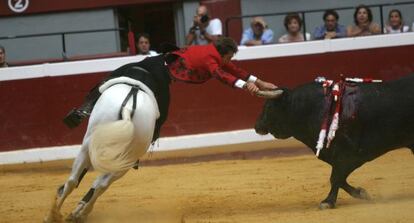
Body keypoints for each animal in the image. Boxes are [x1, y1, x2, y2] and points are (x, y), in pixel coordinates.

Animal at [44, 76, 159, 221]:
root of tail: (128, 108)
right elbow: (98, 183)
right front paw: (79, 211)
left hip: (88, 145)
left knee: (74, 181)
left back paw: (54, 215)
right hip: (126, 160)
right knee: (100, 185)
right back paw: (79, 213)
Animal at [254, 74, 414, 209]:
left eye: (269, 106)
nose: (257, 126)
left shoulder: (349, 155)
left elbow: (335, 178)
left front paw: (328, 202)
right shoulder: (339, 157)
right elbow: (340, 179)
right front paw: (361, 193)